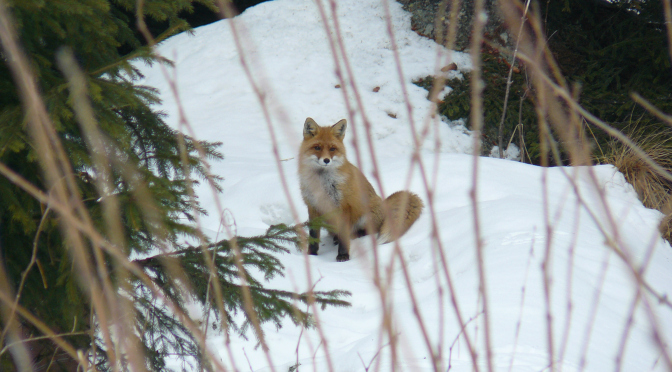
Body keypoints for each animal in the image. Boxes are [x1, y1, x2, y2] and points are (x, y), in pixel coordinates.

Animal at [298, 117, 422, 262]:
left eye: (332, 149)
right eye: (317, 147)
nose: (326, 160)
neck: (321, 182)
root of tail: (384, 205)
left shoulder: (344, 206)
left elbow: (344, 237)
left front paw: (343, 255)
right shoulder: (312, 206)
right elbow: (313, 235)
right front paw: (311, 255)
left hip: (365, 216)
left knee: (367, 231)